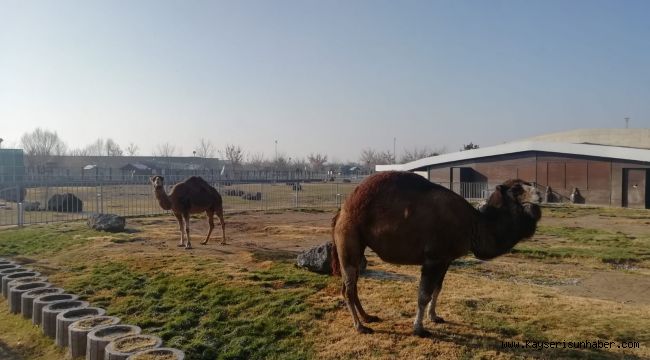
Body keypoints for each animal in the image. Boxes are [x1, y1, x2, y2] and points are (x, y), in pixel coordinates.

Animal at [332, 170, 540, 336]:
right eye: (516, 189)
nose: (539, 194)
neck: (474, 223)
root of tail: (342, 210)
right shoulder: (432, 259)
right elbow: (423, 295)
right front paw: (419, 329)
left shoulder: (445, 259)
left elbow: (437, 289)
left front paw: (434, 317)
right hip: (349, 239)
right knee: (348, 289)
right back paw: (360, 327)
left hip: (358, 249)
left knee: (352, 286)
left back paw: (368, 317)